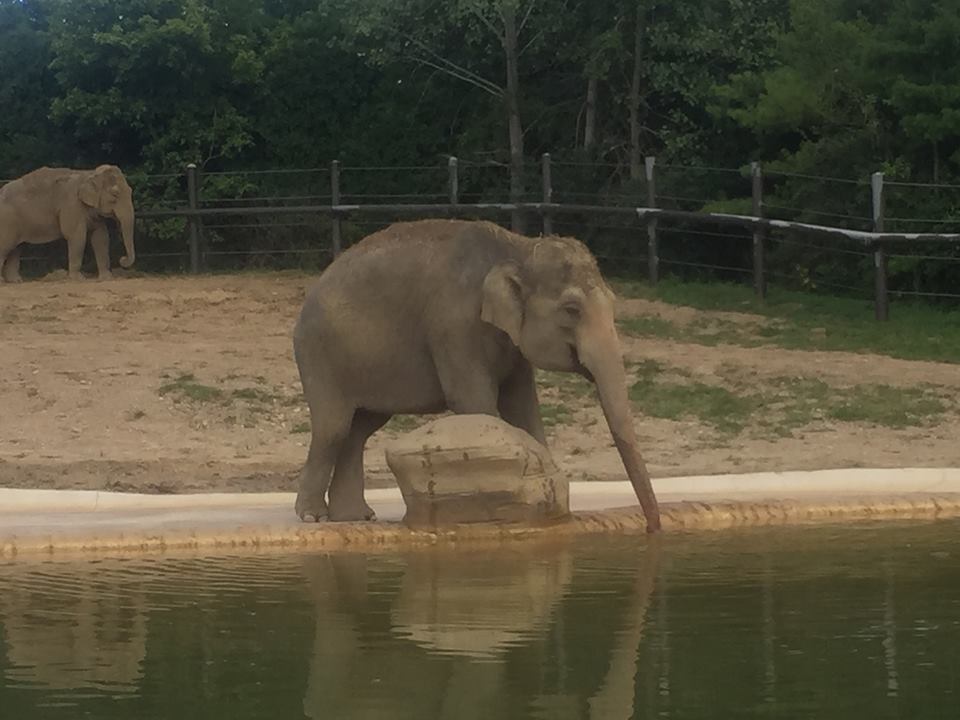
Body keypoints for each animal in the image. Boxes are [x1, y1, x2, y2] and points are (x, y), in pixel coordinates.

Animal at [0, 164, 136, 283]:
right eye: (115, 194)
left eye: (130, 190)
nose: (122, 259)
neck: (89, 174)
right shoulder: (72, 205)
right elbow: (77, 237)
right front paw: (79, 279)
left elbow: (101, 237)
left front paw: (106, 278)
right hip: (7, 221)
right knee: (6, 247)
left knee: (16, 249)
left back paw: (16, 281)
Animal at [292, 218, 662, 532]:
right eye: (572, 310)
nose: (651, 529)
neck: (518, 247)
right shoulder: (454, 325)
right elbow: (474, 400)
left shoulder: (510, 343)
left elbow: (522, 405)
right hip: (319, 356)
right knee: (334, 428)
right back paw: (314, 517)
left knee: (360, 429)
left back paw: (355, 517)